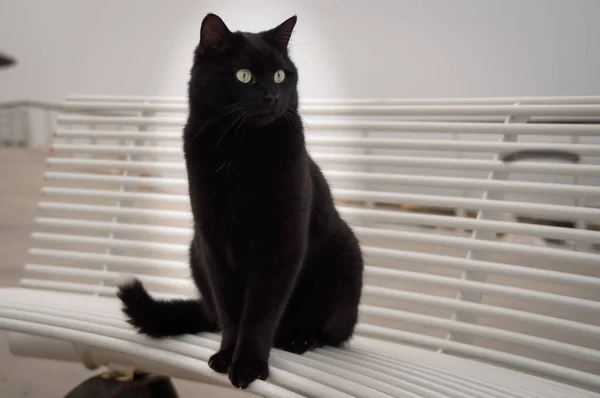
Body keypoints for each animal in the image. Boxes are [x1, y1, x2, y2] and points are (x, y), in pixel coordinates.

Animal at [116, 13, 360, 388]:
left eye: (280, 75)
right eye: (244, 75)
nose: (273, 95)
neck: (241, 149)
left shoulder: (281, 243)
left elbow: (259, 314)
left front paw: (248, 364)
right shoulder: (214, 240)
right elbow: (231, 309)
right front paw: (227, 354)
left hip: (345, 257)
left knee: (331, 329)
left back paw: (300, 337)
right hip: (195, 253)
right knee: (216, 314)